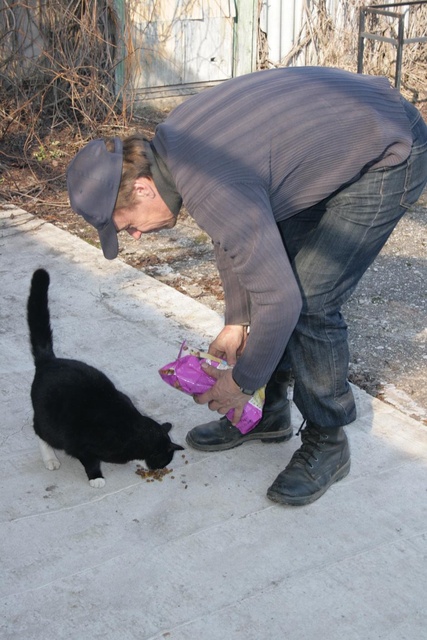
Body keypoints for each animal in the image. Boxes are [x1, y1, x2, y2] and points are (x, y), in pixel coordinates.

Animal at [26, 268, 184, 488]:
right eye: (164, 459)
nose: (160, 467)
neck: (133, 431)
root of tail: (49, 360)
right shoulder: (84, 445)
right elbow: (91, 461)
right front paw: (96, 478)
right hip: (49, 422)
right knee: (40, 432)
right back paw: (50, 459)